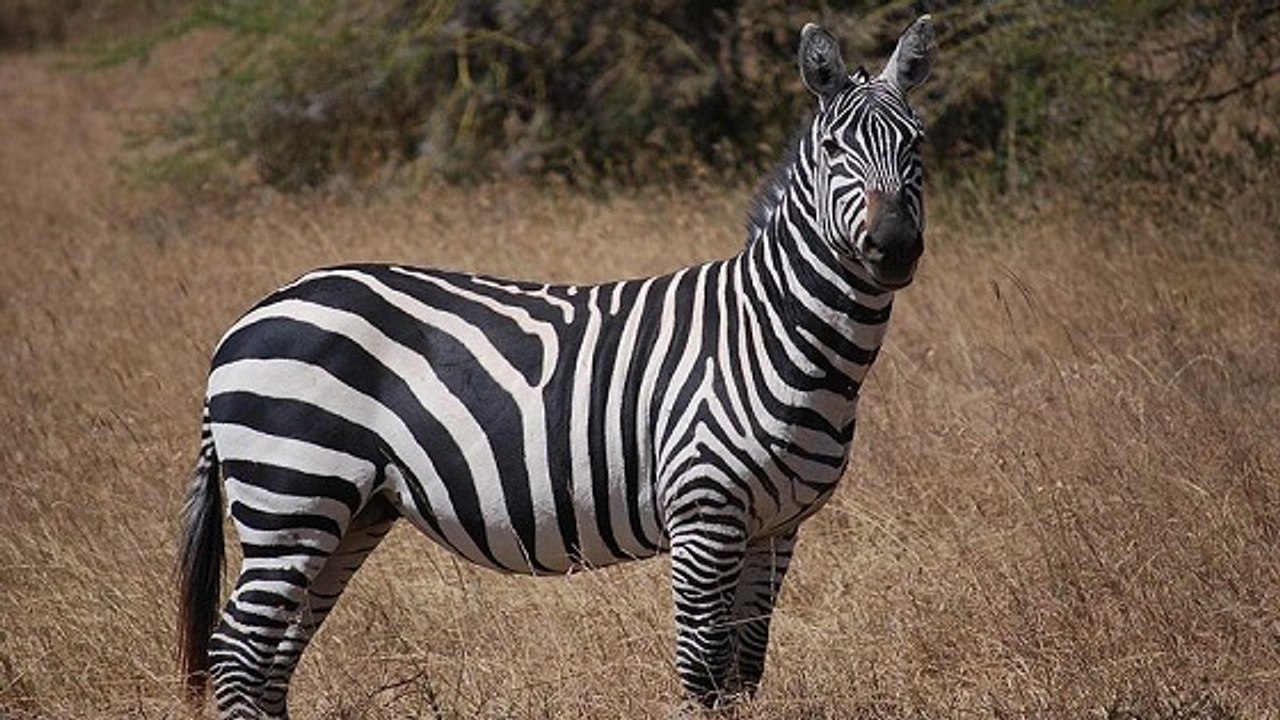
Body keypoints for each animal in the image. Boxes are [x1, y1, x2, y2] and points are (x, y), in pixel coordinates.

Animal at [178, 16, 935, 717]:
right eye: (835, 150)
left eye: (917, 146)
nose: (895, 247)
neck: (773, 332)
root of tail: (250, 316)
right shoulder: (704, 514)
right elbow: (702, 674)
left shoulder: (776, 528)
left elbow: (744, 674)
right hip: (292, 492)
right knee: (238, 651)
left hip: (349, 510)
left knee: (274, 659)